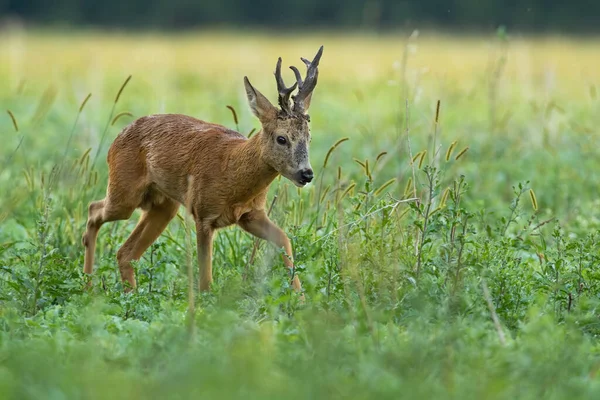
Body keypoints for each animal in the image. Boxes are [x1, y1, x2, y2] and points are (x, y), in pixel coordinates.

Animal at [82, 47, 324, 296]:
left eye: (309, 138)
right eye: (281, 138)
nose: (306, 174)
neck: (233, 172)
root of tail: (115, 141)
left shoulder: (251, 215)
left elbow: (284, 239)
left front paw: (300, 296)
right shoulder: (203, 214)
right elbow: (205, 280)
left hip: (164, 205)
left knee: (125, 253)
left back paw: (126, 293)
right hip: (124, 192)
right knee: (93, 210)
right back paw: (88, 284)